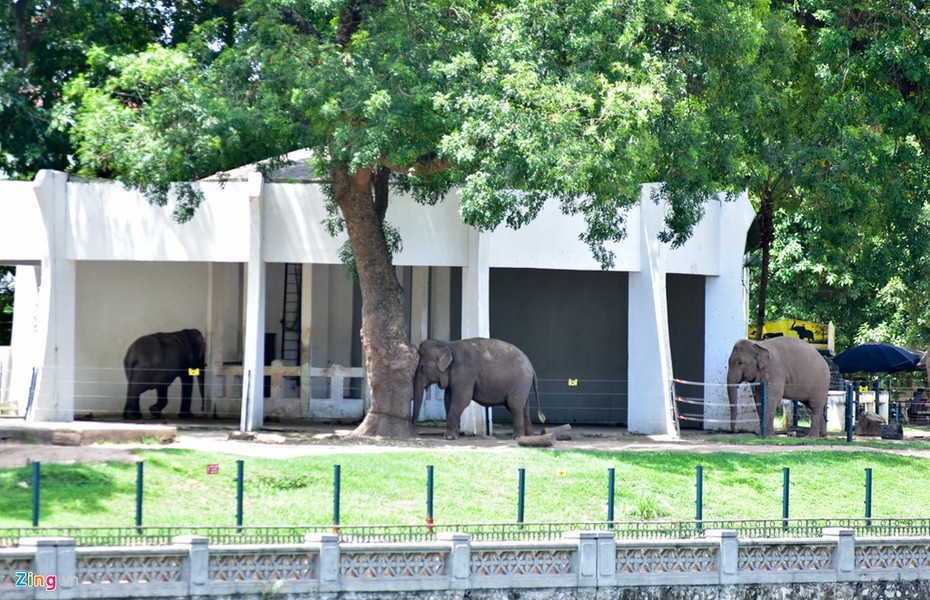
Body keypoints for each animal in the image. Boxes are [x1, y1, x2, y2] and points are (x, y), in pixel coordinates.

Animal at [412, 338, 544, 440]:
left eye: (422, 368)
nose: (416, 431)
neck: (446, 344)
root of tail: (531, 367)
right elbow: (447, 400)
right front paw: (454, 435)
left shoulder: (465, 373)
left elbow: (462, 400)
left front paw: (449, 438)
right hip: (523, 384)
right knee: (524, 407)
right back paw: (529, 436)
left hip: (520, 381)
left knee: (514, 405)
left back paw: (517, 437)